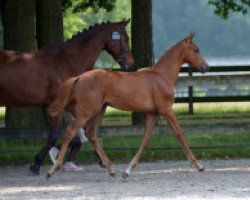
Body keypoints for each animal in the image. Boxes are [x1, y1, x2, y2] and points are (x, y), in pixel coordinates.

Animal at [46, 32, 209, 178]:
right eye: (197, 49)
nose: (206, 67)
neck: (161, 76)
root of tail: (79, 77)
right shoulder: (166, 110)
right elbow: (179, 134)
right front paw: (199, 165)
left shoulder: (151, 113)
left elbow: (146, 139)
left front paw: (128, 171)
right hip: (86, 112)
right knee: (70, 132)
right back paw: (53, 170)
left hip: (100, 110)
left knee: (91, 133)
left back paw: (111, 169)